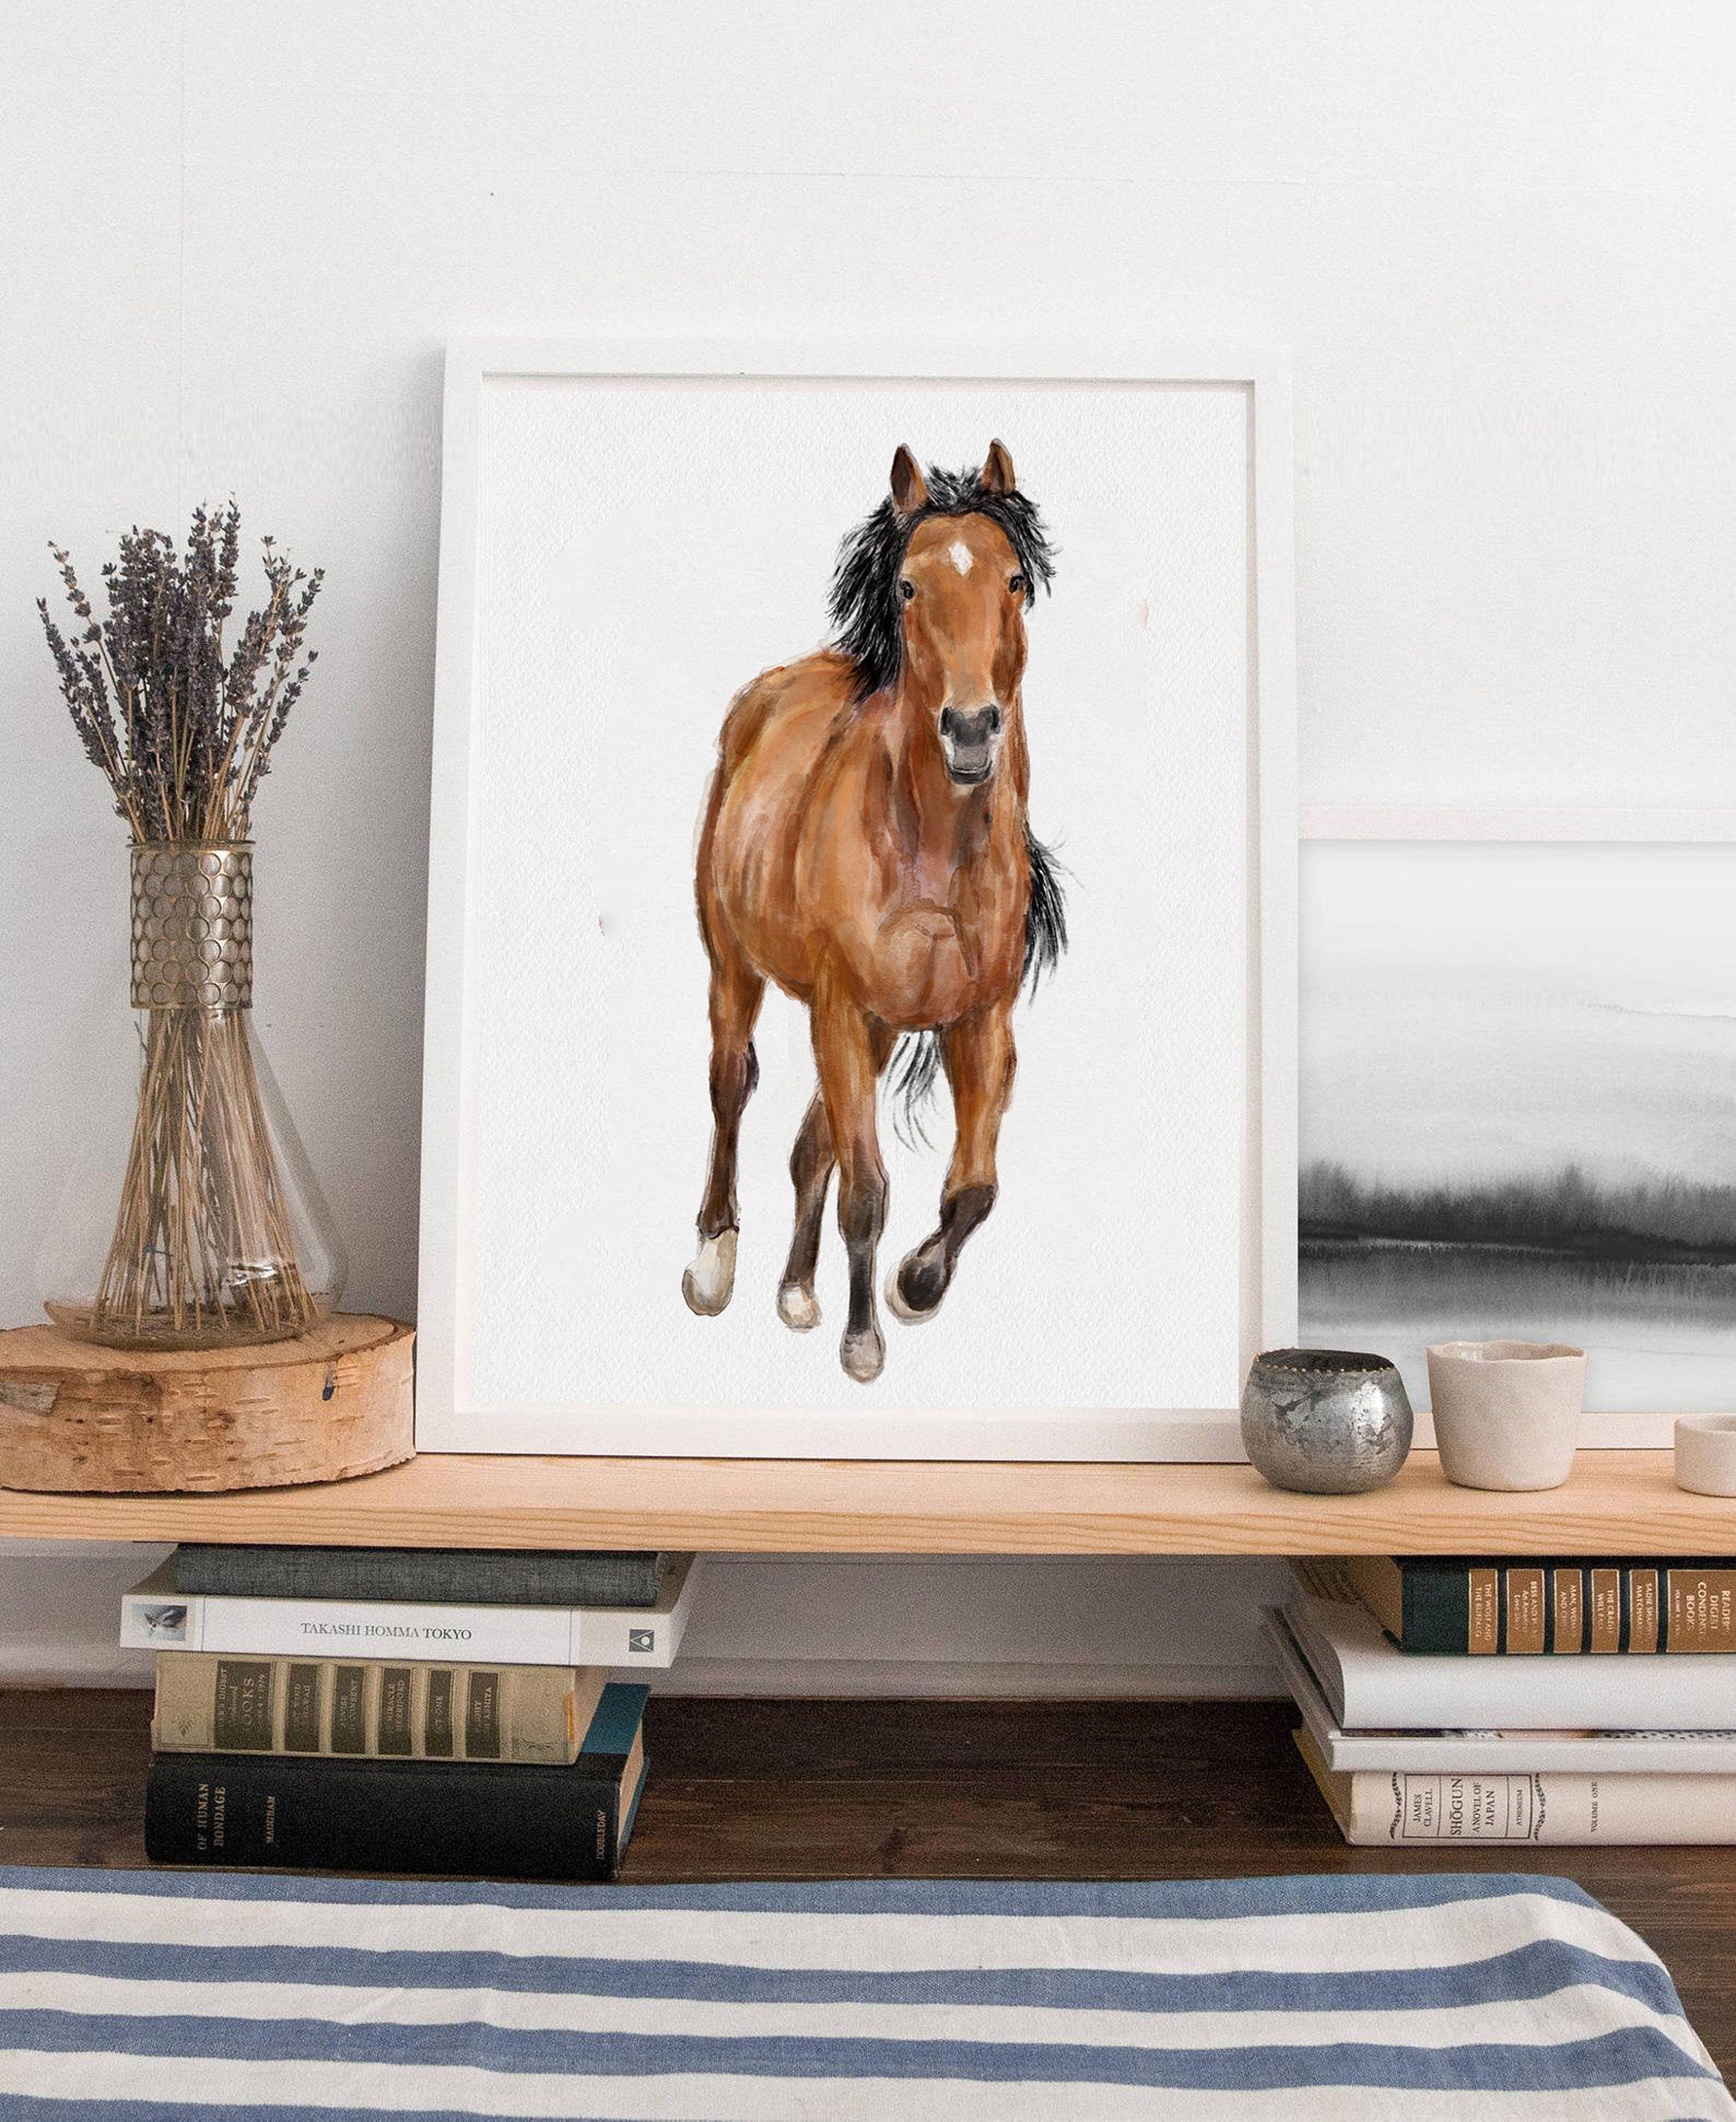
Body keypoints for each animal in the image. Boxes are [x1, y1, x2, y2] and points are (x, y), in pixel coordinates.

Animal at [683, 440, 1065, 1384]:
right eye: (909, 586)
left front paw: (912, 1286)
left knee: (810, 1142)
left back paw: (795, 1290)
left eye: (1013, 580)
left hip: (880, 1025)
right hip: (736, 967)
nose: (972, 729)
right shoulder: (841, 1006)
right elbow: (866, 1191)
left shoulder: (977, 1019)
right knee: (730, 1085)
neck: (932, 848)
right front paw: (864, 1341)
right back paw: (713, 1262)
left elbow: (972, 1189)